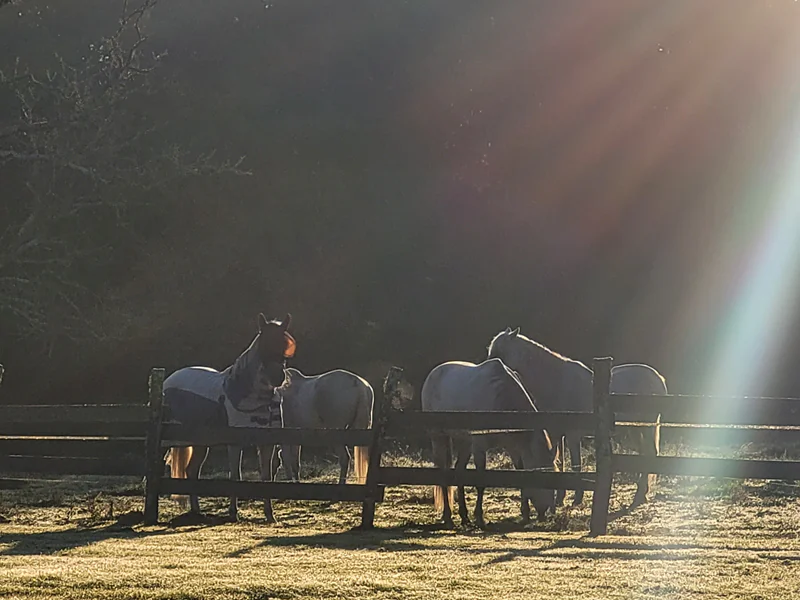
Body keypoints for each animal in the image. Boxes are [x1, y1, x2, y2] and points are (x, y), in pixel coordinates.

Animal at [161, 312, 296, 524]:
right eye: (264, 344)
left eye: (285, 346)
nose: (277, 377)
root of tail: (168, 382)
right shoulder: (235, 443)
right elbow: (235, 477)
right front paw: (233, 513)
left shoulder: (267, 443)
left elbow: (266, 476)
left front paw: (270, 514)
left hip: (200, 443)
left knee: (191, 471)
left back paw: (197, 512)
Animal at [418, 358, 556, 528]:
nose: (544, 513)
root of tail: (434, 373)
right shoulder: (480, 447)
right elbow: (481, 482)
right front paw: (480, 517)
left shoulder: (514, 448)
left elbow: (520, 473)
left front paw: (525, 513)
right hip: (438, 437)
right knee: (444, 474)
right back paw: (448, 517)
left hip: (465, 442)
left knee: (459, 471)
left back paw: (464, 516)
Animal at [484, 328, 664, 506]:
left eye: (500, 353)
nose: (489, 370)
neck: (557, 383)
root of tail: (658, 379)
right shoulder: (556, 433)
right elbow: (560, 462)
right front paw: (560, 499)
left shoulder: (572, 434)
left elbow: (575, 464)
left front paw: (577, 498)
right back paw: (642, 494)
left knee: (649, 454)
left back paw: (638, 497)